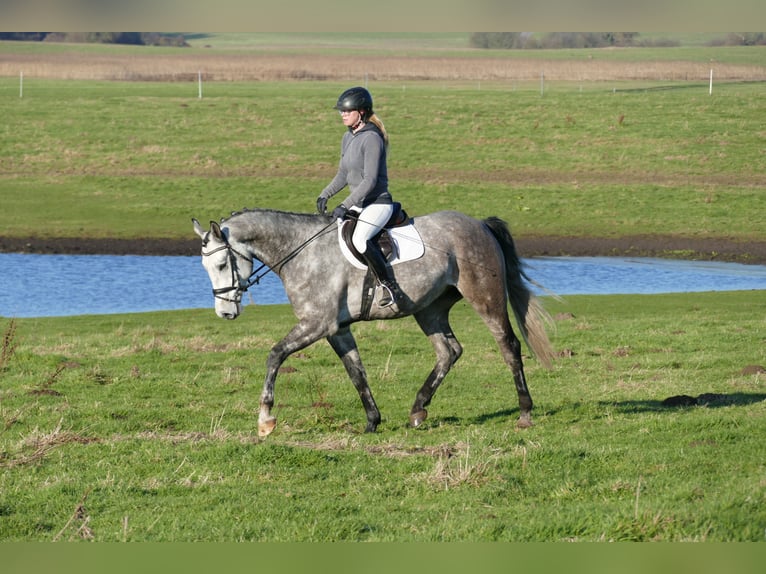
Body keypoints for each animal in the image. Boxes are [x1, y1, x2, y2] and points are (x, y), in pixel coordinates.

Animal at [193, 208, 554, 437]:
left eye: (222, 264)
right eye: (207, 268)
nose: (225, 313)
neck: (302, 252)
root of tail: (479, 224)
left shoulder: (317, 324)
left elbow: (275, 355)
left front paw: (266, 419)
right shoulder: (336, 330)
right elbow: (357, 372)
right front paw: (372, 422)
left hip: (485, 299)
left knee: (508, 346)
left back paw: (524, 412)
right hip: (430, 309)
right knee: (448, 351)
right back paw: (418, 410)